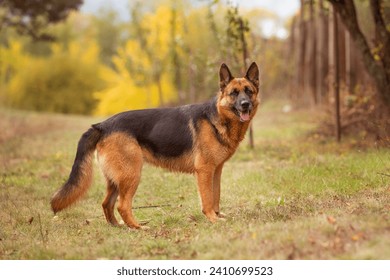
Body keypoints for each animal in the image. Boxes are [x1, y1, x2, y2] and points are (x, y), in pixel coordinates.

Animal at [51, 62, 258, 229]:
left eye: (248, 91)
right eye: (233, 93)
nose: (245, 104)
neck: (218, 117)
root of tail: (103, 125)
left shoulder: (216, 171)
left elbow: (216, 196)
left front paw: (217, 215)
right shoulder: (205, 171)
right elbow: (208, 199)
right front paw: (212, 219)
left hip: (116, 179)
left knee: (106, 203)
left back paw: (118, 226)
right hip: (131, 175)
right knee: (122, 205)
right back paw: (138, 227)